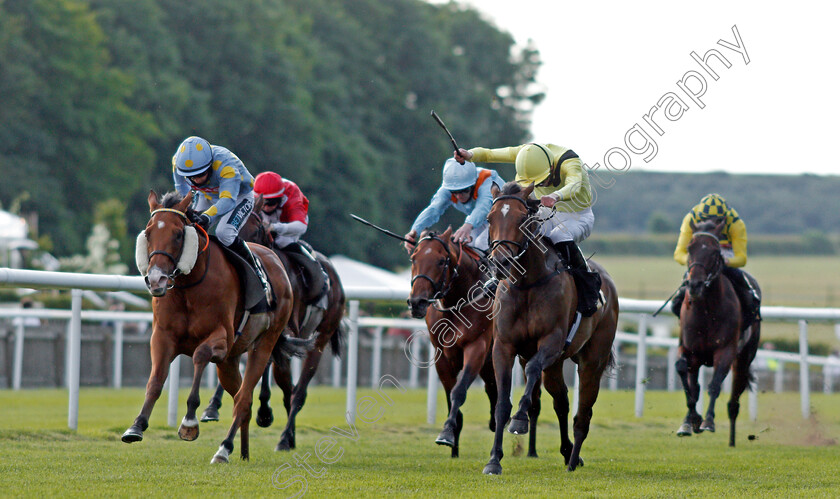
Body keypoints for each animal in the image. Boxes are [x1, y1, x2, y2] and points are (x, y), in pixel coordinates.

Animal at [123, 192, 304, 464]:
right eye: (148, 232)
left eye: (179, 234)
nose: (156, 279)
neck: (189, 287)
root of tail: (276, 261)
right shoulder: (163, 337)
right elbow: (155, 380)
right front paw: (137, 426)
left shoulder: (221, 338)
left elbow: (200, 355)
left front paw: (189, 422)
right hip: (229, 362)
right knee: (241, 399)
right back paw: (242, 452)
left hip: (262, 345)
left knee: (243, 399)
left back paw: (224, 448)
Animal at [199, 200, 346, 454]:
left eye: (257, 227)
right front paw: (213, 407)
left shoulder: (284, 329)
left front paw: (264, 411)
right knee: (288, 389)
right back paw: (289, 434)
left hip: (320, 337)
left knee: (298, 391)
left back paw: (285, 436)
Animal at [406, 229, 544, 458]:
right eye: (413, 258)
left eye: (441, 261)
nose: (417, 302)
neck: (458, 303)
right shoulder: (442, 356)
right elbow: (451, 394)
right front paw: (453, 444)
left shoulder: (476, 348)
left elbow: (459, 391)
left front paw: (446, 433)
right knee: (492, 389)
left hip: (524, 355)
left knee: (534, 400)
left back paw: (531, 449)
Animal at [480, 184, 616, 476]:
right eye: (489, 218)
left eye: (522, 219)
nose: (501, 263)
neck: (526, 284)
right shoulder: (504, 347)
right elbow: (502, 403)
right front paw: (494, 460)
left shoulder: (551, 342)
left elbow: (532, 370)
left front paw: (520, 420)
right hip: (555, 366)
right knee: (561, 402)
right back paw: (567, 452)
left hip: (592, 360)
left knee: (583, 414)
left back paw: (573, 460)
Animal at [676, 218, 760, 446]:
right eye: (690, 248)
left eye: (715, 252)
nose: (695, 284)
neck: (706, 311)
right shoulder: (688, 348)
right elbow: (683, 373)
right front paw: (692, 420)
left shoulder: (725, 350)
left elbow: (714, 386)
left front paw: (708, 421)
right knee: (694, 385)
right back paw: (688, 422)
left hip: (744, 358)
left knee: (734, 402)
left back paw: (731, 440)